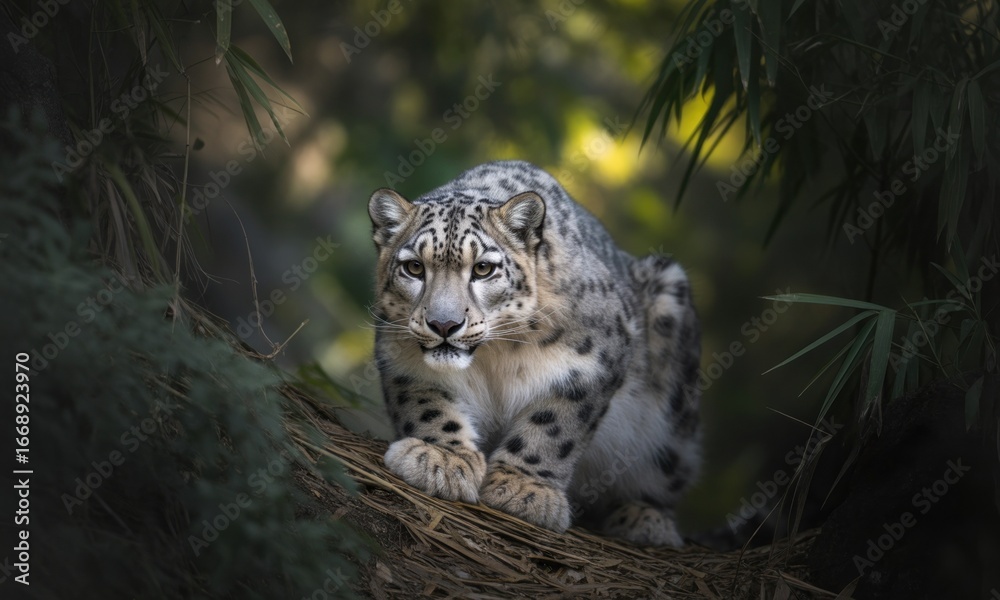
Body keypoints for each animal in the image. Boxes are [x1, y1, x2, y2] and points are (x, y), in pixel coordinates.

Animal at [367, 160, 701, 546]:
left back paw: (645, 519)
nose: (444, 324)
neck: (493, 356)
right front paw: (441, 459)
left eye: (483, 268)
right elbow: (427, 406)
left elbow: (554, 425)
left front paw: (523, 488)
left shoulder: (594, 362)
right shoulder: (402, 357)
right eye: (414, 267)